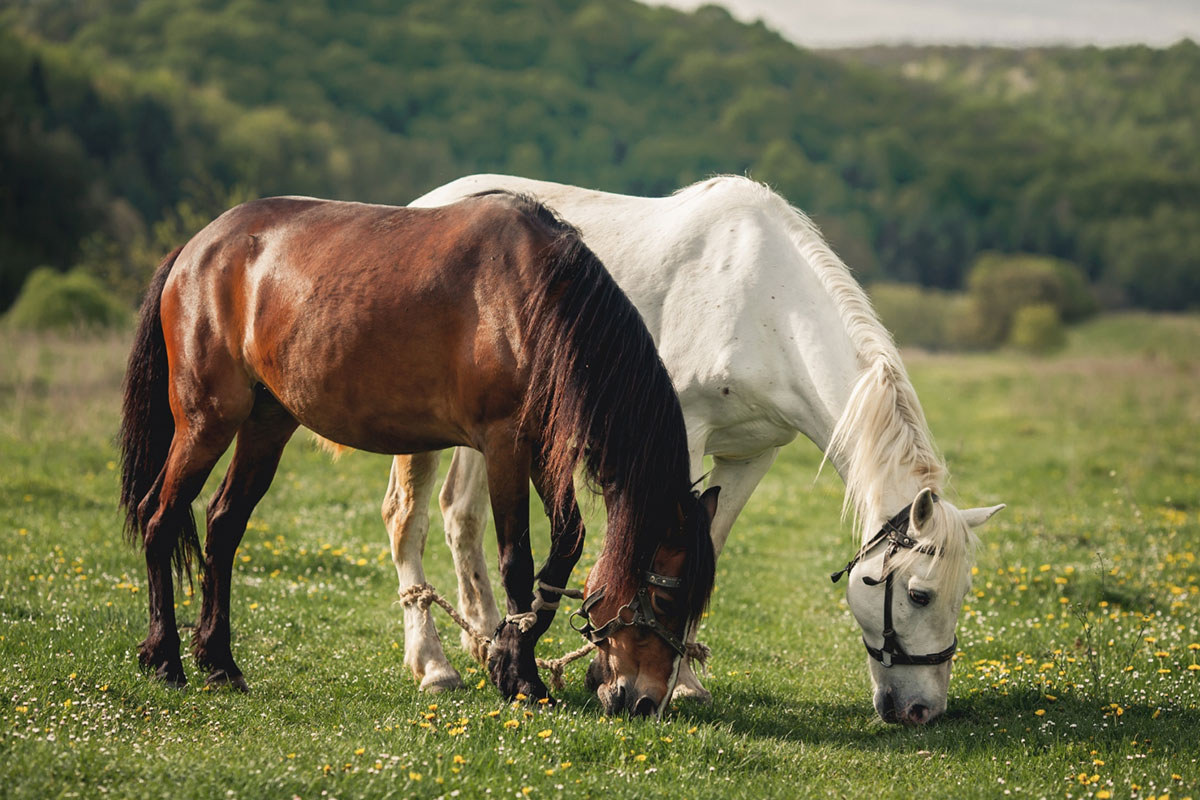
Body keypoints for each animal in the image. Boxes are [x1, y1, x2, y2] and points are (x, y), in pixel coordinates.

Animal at [120, 191, 715, 714]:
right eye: (666, 599)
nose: (645, 702)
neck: (535, 299)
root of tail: (197, 248)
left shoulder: (543, 448)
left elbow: (565, 546)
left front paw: (508, 654)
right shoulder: (505, 445)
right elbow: (517, 562)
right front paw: (520, 676)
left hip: (267, 425)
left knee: (223, 525)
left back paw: (219, 662)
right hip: (206, 422)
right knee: (160, 517)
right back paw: (166, 658)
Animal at [384, 175, 1003, 724]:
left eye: (964, 593)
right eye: (919, 595)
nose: (923, 710)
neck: (767, 307)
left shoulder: (752, 456)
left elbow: (709, 546)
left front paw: (681, 679)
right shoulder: (680, 438)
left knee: (461, 515)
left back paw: (488, 640)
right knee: (407, 518)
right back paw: (434, 665)